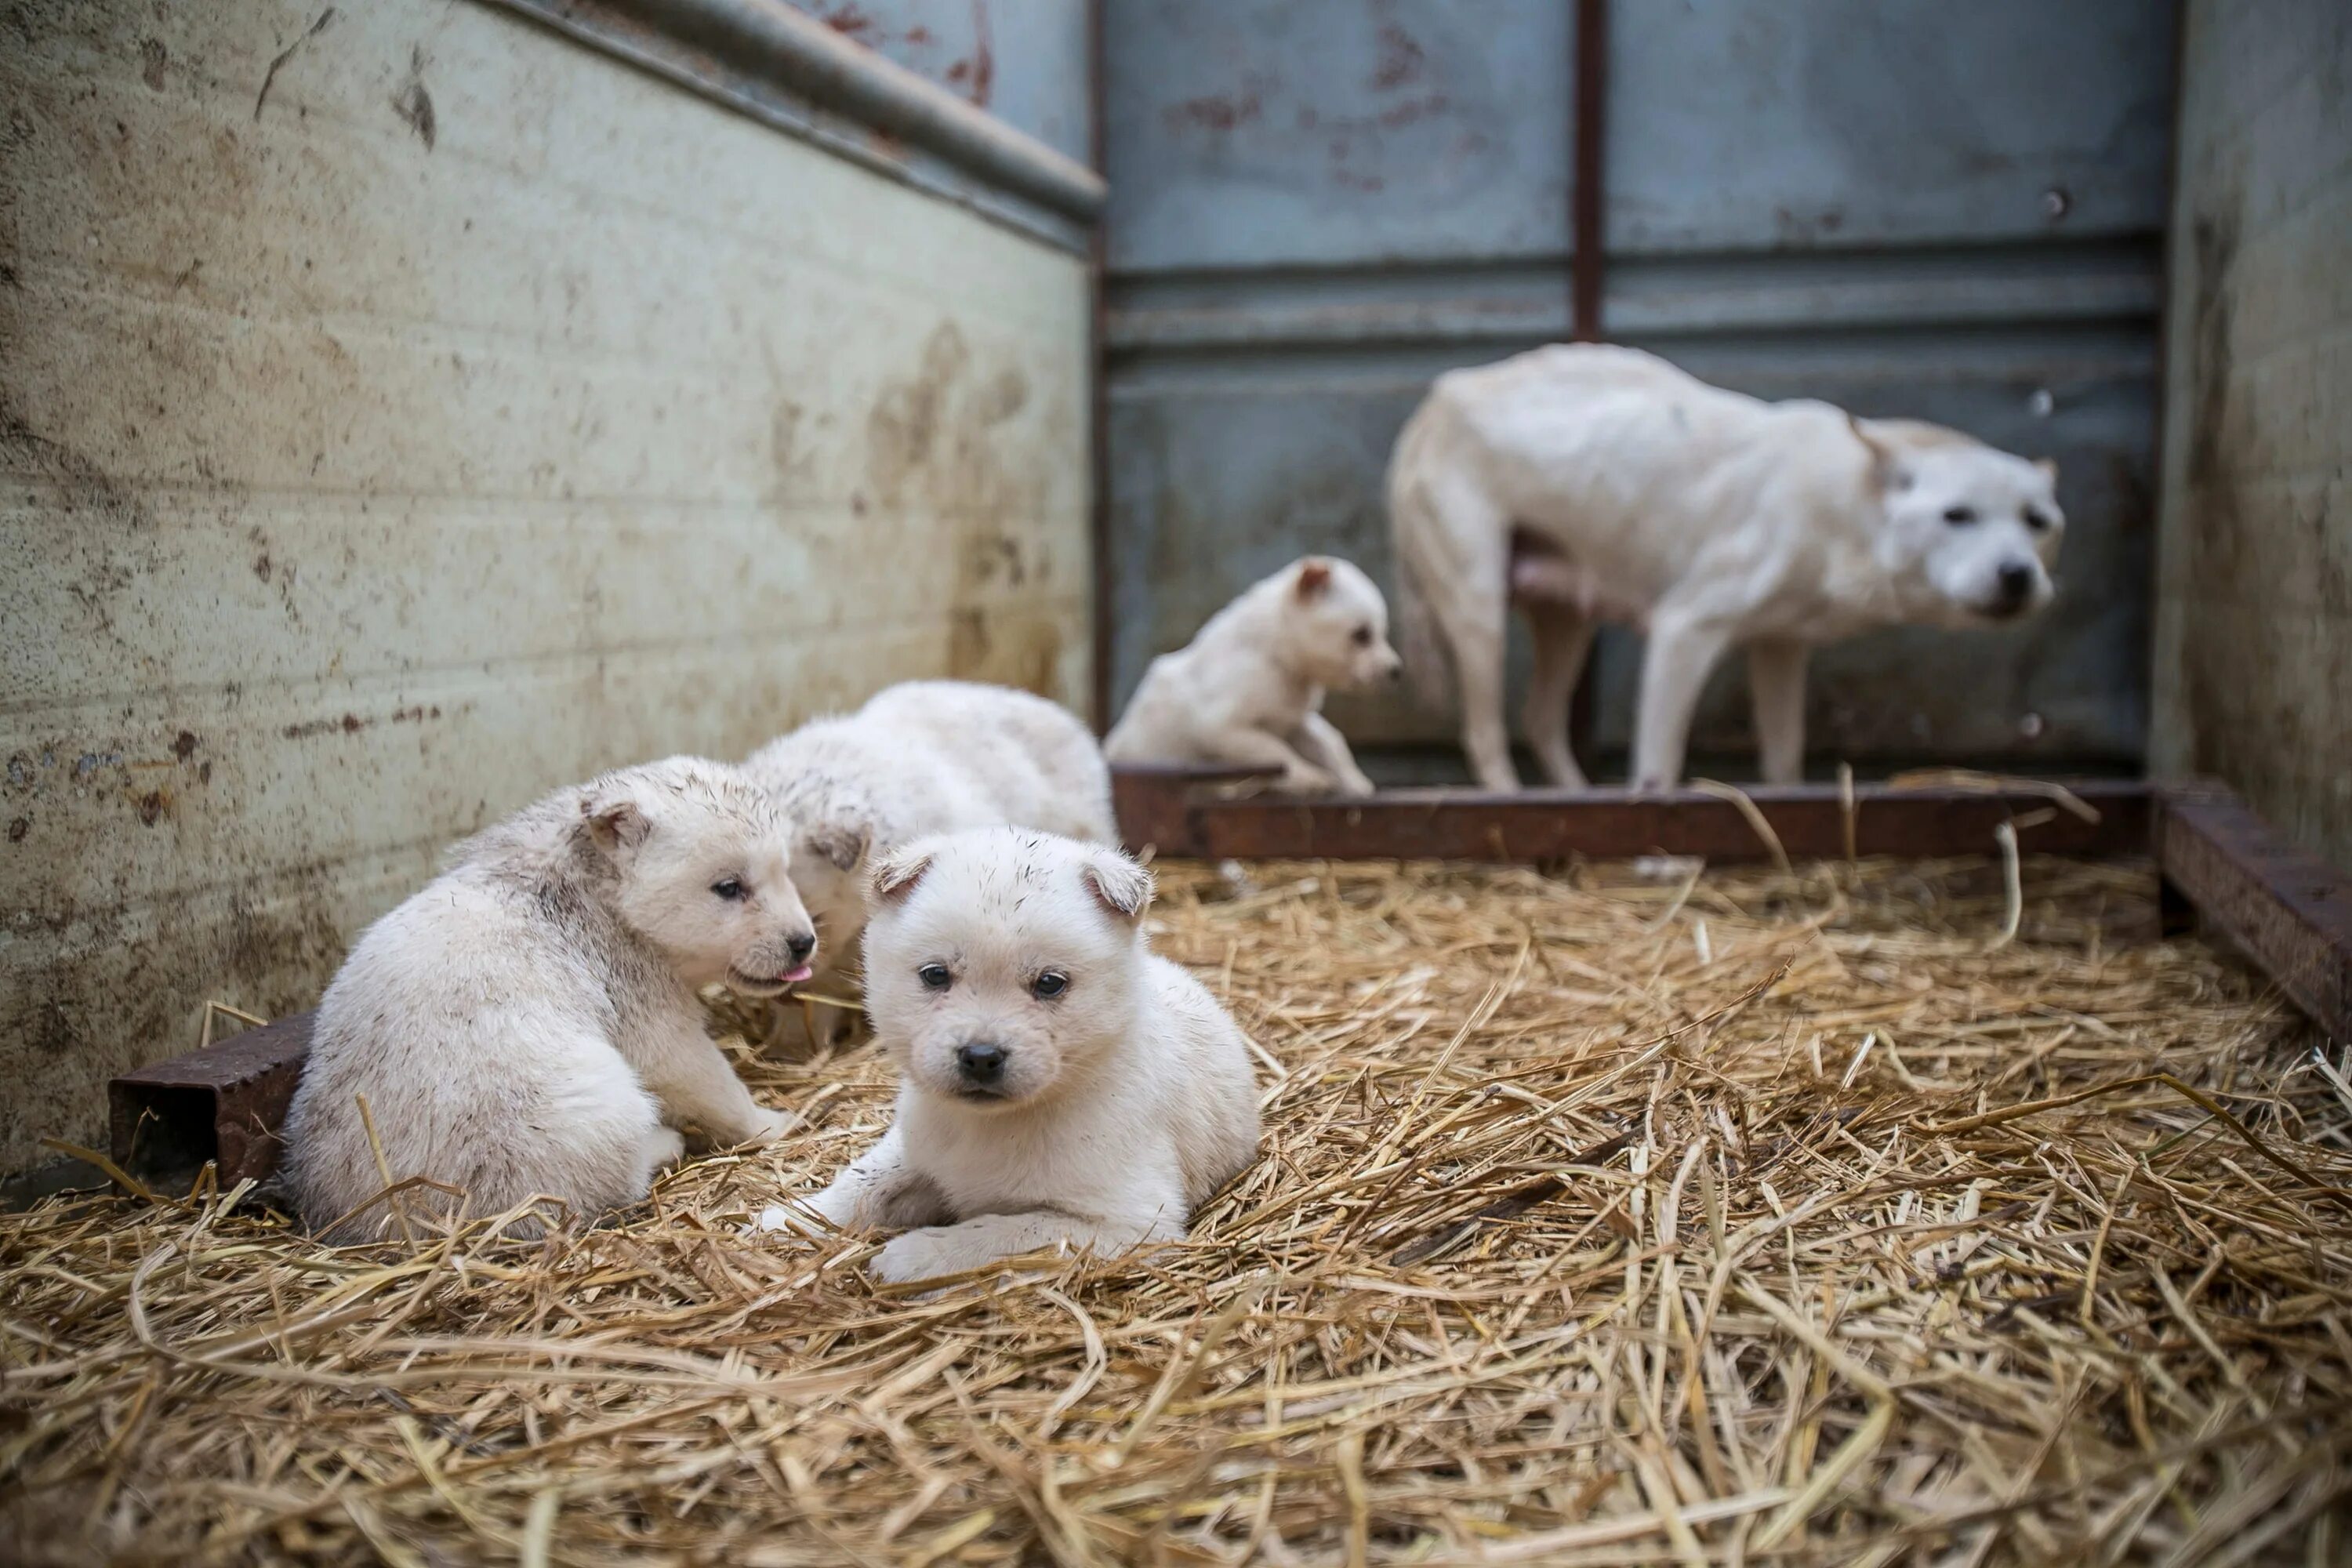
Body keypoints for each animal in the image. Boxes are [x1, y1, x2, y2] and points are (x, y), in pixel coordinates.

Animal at [282, 752, 818, 1241]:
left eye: (786, 870)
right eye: (728, 886)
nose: (803, 942)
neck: (595, 893)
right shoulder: (635, 992)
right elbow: (699, 1076)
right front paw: (773, 1120)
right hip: (572, 1116)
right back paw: (662, 1144)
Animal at [762, 827, 1261, 1279]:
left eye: (1050, 983)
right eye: (935, 975)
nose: (981, 1056)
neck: (992, 1125)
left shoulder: (1130, 1222)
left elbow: (1003, 1233)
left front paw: (914, 1256)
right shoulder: (914, 1146)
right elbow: (866, 1180)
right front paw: (788, 1217)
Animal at [1383, 340, 2070, 785]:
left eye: (2037, 521)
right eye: (1958, 515)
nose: (2018, 576)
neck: (1841, 510)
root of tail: (1436, 400)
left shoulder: (1781, 645)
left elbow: (1785, 758)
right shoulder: (1684, 630)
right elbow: (1658, 766)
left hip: (1567, 620)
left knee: (1541, 721)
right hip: (1479, 611)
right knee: (1485, 736)